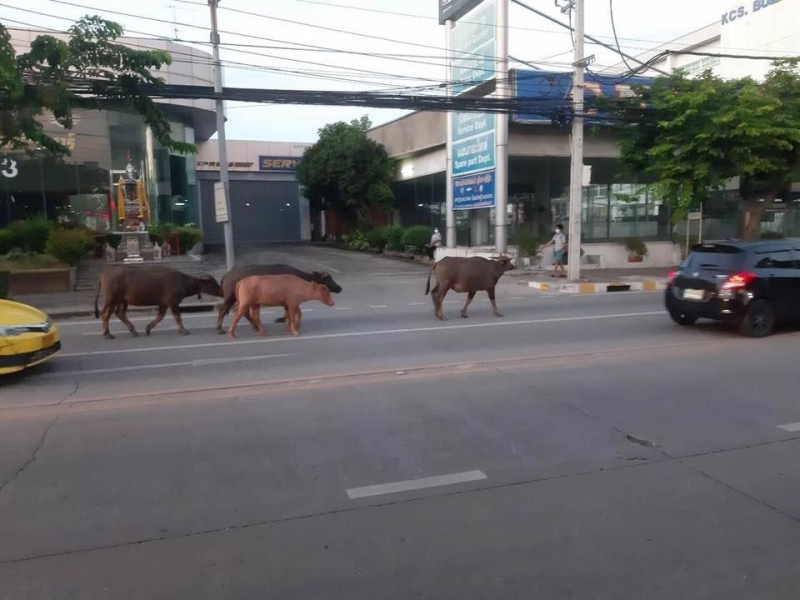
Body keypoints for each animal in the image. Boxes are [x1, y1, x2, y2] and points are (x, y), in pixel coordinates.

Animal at [94, 265, 222, 339]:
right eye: (213, 283)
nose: (222, 291)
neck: (182, 282)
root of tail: (103, 274)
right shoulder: (173, 302)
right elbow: (178, 317)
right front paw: (183, 330)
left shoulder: (163, 304)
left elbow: (159, 317)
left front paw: (148, 328)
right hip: (111, 299)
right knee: (105, 314)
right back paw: (107, 334)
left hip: (122, 301)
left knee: (119, 313)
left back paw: (133, 331)